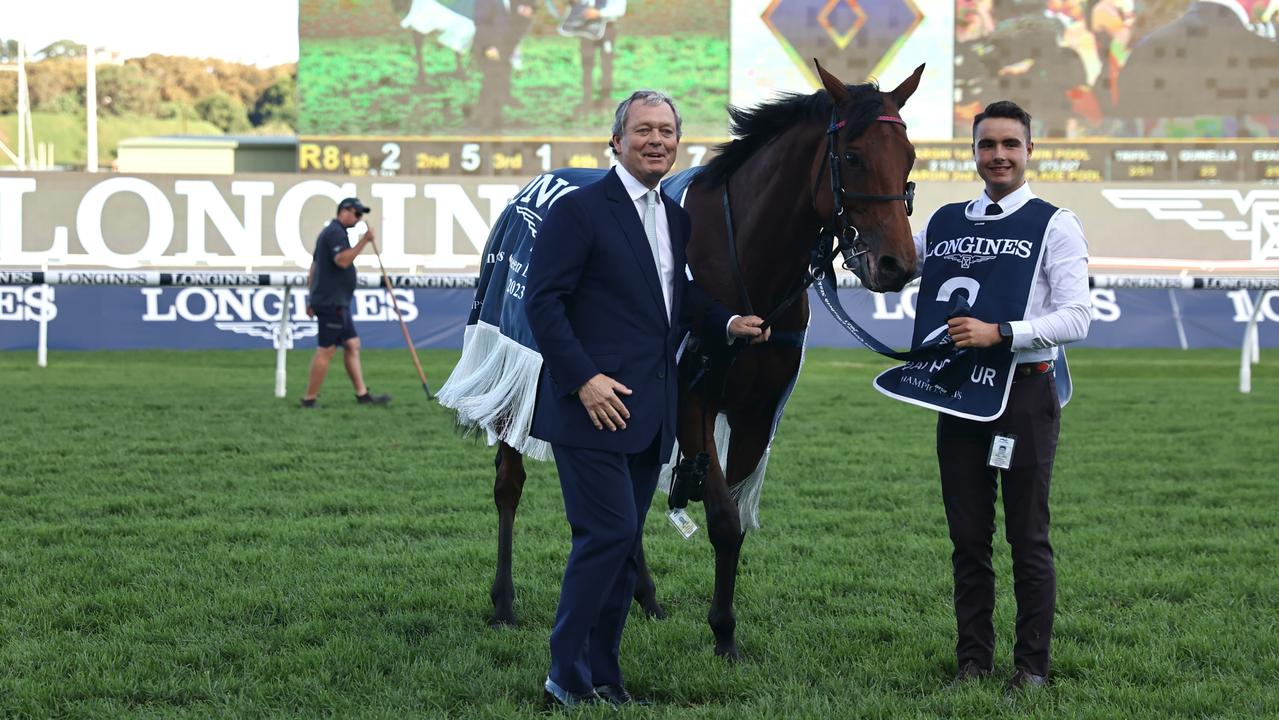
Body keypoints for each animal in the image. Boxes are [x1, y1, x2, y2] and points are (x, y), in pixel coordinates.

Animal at [480, 62, 920, 659]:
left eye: (910, 156)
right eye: (852, 156)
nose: (897, 266)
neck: (748, 265)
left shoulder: (756, 413)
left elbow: (731, 516)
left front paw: (722, 628)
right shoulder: (692, 400)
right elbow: (723, 520)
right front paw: (723, 630)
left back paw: (643, 596)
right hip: (519, 366)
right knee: (510, 481)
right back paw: (504, 603)